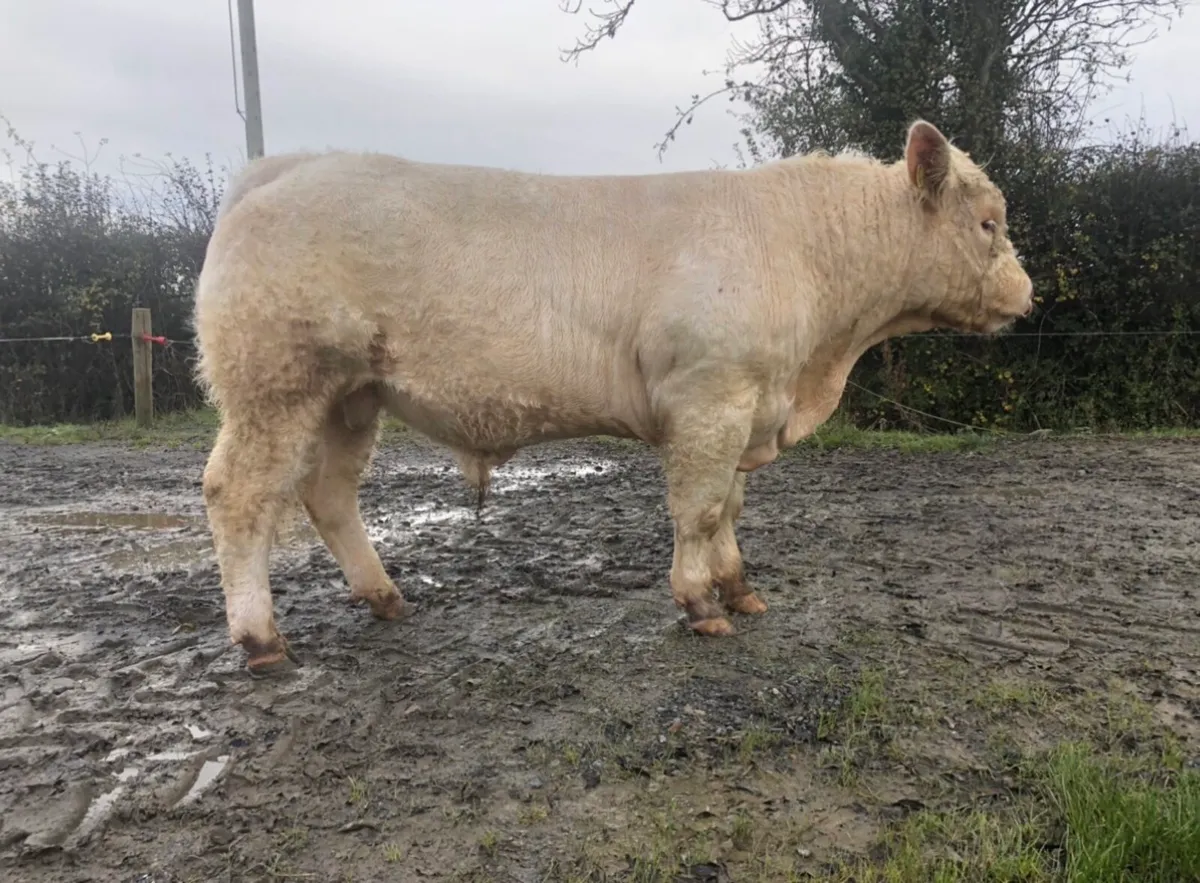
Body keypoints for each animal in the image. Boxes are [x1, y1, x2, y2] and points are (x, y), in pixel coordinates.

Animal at [193, 120, 1034, 673]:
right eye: (988, 222)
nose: (1027, 295)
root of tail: (280, 169)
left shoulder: (745, 406)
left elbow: (728, 508)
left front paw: (739, 589)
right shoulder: (710, 396)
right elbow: (698, 508)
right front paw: (699, 603)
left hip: (351, 395)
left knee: (330, 493)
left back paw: (385, 597)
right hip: (276, 384)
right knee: (239, 495)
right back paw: (261, 639)